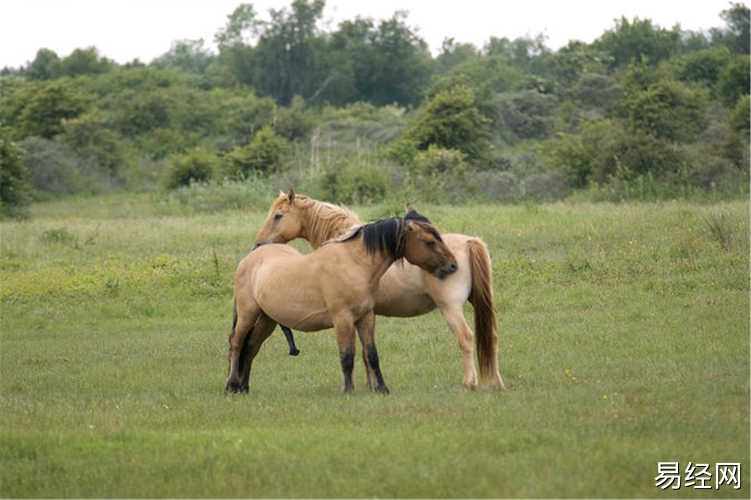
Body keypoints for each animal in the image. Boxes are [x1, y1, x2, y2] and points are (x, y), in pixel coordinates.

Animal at [225, 208, 458, 394]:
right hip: (248, 314)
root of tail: (249, 259)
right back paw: (232, 386)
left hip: (267, 320)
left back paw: (244, 387)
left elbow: (371, 354)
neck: (354, 263)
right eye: (430, 241)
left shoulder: (366, 317)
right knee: (236, 343)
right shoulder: (342, 319)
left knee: (251, 347)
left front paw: (382, 389)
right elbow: (347, 356)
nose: (453, 265)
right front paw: (347, 390)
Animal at [256, 191, 508, 390]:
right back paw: (496, 383)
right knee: (492, 337)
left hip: (450, 307)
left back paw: (470, 382)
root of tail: (470, 241)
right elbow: (366, 351)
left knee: (465, 337)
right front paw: (372, 384)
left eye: (278, 215)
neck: (354, 251)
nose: (258, 245)